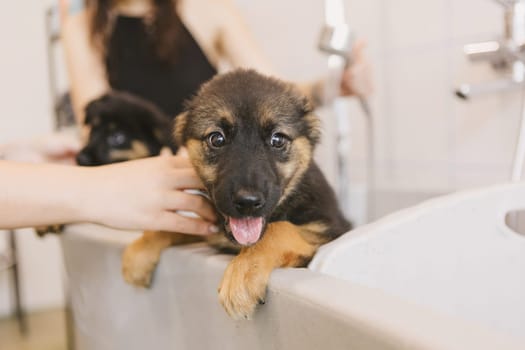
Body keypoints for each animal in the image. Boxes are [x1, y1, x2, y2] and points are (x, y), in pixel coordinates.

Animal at [123, 68, 352, 320]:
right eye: (216, 138)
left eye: (277, 139)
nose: (248, 202)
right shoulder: (210, 232)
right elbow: (177, 226)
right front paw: (140, 252)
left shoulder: (329, 229)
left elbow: (279, 229)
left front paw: (243, 274)